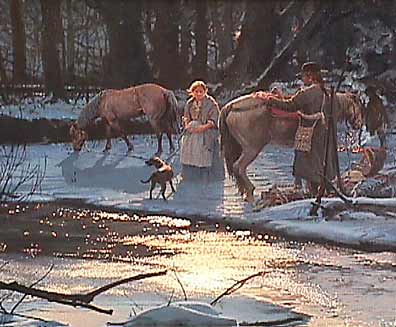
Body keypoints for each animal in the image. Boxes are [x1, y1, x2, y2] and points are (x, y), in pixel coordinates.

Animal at [220, 92, 366, 204]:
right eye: (359, 106)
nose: (358, 125)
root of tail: (231, 106)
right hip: (252, 149)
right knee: (239, 167)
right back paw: (250, 194)